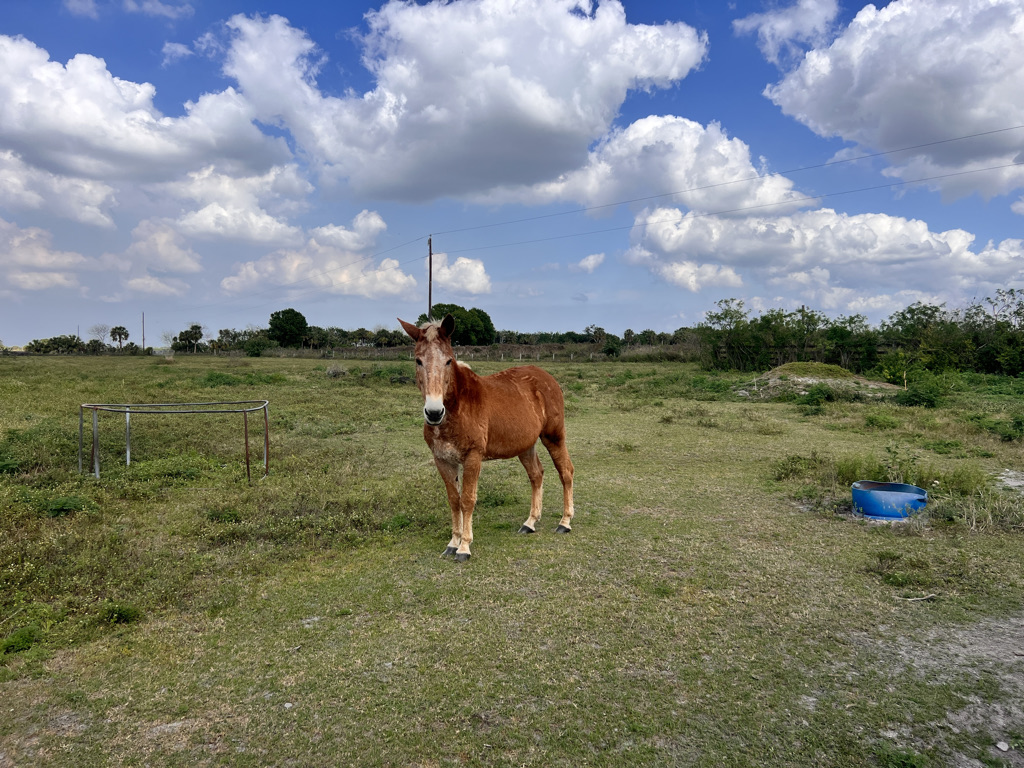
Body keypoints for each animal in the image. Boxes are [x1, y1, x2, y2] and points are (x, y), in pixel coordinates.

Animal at [399, 315, 577, 561]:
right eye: (418, 361)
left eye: (448, 361)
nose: (434, 413)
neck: (458, 406)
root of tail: (547, 378)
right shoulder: (442, 460)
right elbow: (454, 500)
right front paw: (452, 543)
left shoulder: (473, 457)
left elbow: (467, 499)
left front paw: (464, 547)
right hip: (526, 445)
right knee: (536, 475)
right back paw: (530, 523)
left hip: (554, 437)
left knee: (566, 472)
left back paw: (565, 522)